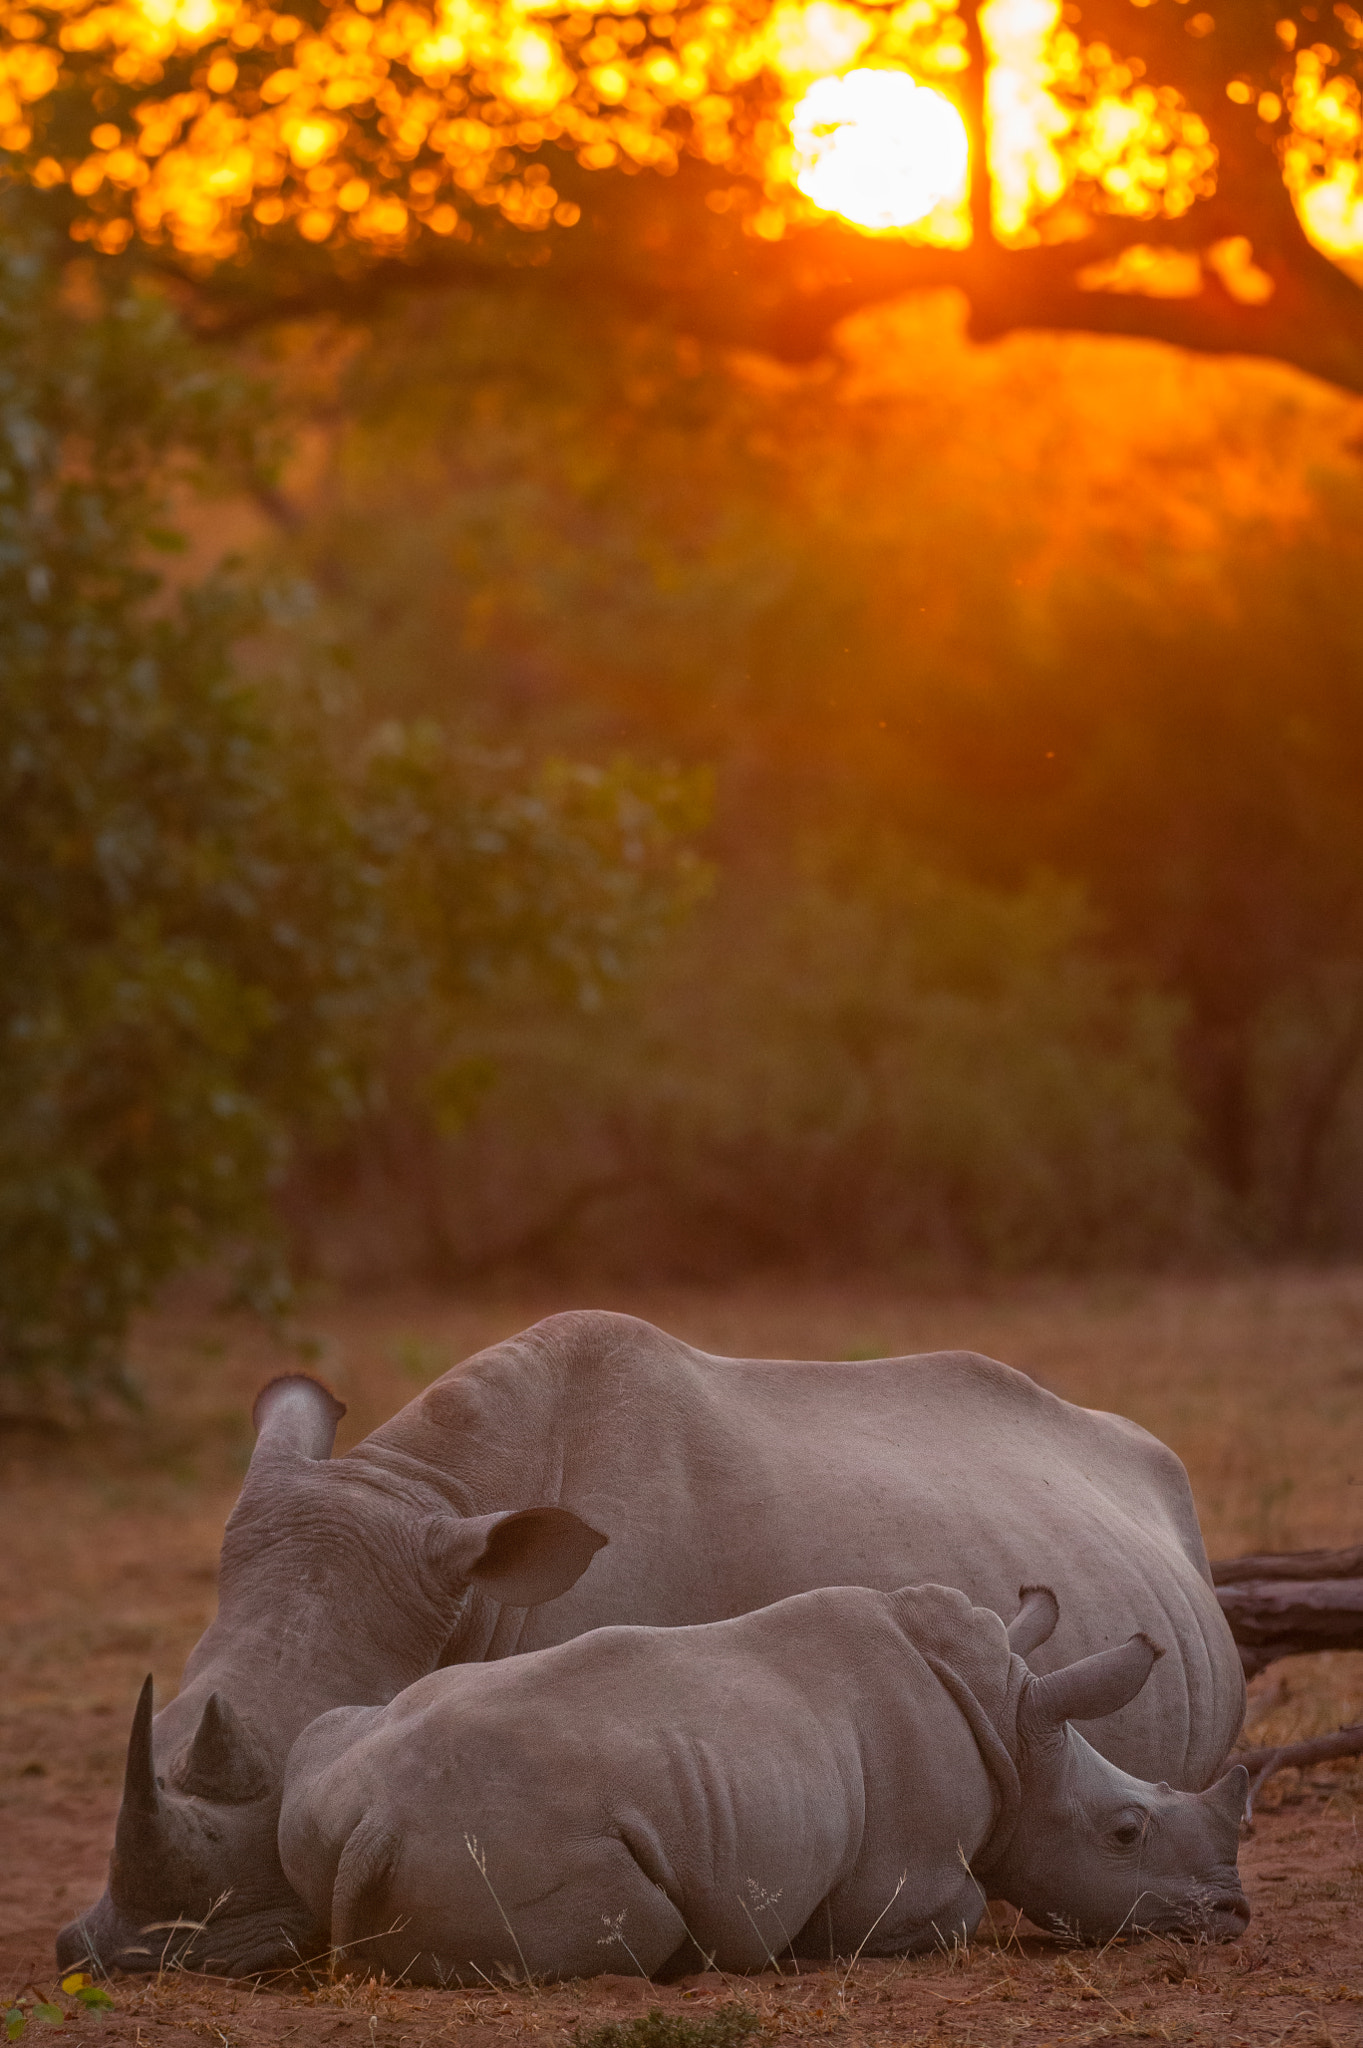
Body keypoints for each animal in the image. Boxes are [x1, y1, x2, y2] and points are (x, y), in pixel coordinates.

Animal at [278, 1582, 1250, 1983]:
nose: (1232, 1916)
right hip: (506, 1829)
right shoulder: (906, 1881)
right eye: (1125, 1833)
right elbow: (960, 1910)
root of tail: (376, 1820)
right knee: (644, 1923)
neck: (1016, 1734)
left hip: (326, 1766)